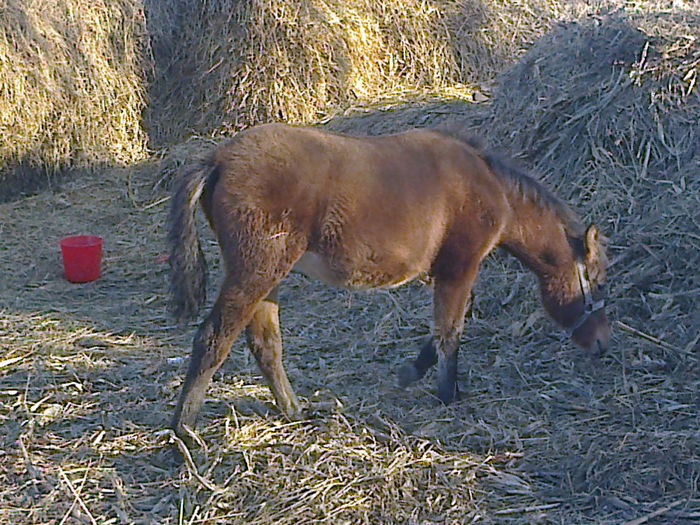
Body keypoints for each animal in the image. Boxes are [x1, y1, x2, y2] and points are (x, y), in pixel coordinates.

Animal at [168, 123, 608, 438]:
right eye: (598, 282)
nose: (602, 344)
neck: (490, 187)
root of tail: (218, 159)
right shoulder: (460, 267)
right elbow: (451, 330)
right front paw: (448, 393)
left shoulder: (449, 273)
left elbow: (444, 328)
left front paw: (413, 371)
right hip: (255, 272)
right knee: (212, 339)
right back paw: (184, 433)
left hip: (268, 276)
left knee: (265, 344)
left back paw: (292, 410)